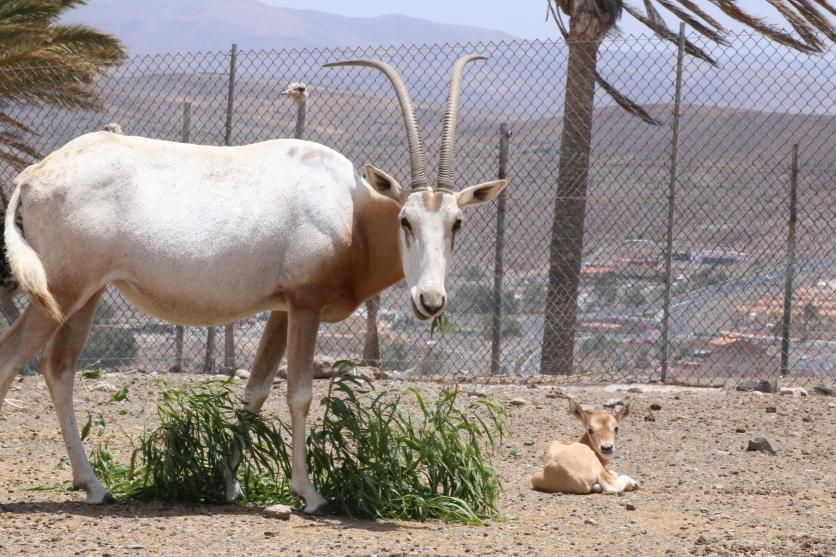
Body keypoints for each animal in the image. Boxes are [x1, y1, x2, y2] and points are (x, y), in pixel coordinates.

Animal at [0, 54, 506, 510]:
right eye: (406, 220)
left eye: (457, 222)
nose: (430, 300)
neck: (351, 212)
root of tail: (31, 175)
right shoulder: (306, 304)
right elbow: (299, 393)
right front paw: (310, 494)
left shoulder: (282, 309)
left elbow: (256, 391)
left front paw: (230, 486)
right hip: (62, 289)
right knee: (13, 356)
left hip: (87, 293)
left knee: (59, 367)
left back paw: (94, 485)